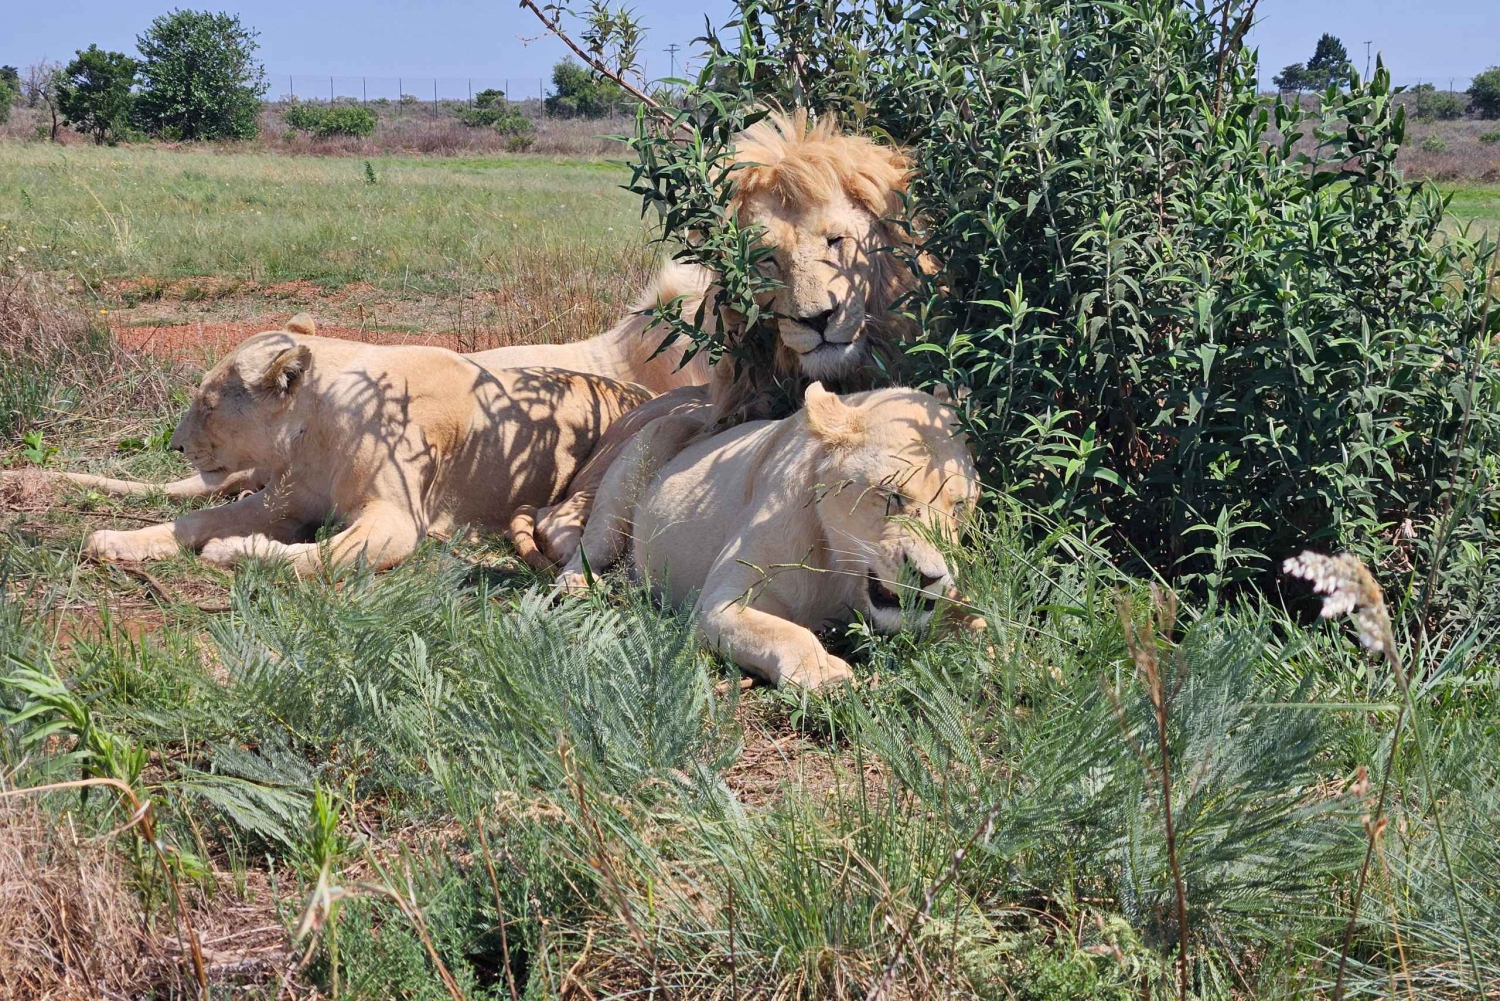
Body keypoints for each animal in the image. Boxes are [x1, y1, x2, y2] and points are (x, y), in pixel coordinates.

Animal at [36, 316, 651, 576]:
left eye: (208, 404)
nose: (176, 445)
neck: (316, 433)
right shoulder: (284, 501)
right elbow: (197, 519)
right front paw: (118, 541)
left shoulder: (396, 522)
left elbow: (317, 556)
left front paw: (231, 552)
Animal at [558, 384, 978, 690]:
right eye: (891, 494)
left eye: (960, 506)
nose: (928, 577)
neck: (843, 571)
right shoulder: (720, 603)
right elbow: (786, 633)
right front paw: (825, 674)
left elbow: (971, 617)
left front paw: (987, 647)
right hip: (622, 490)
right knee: (589, 546)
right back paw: (576, 588)